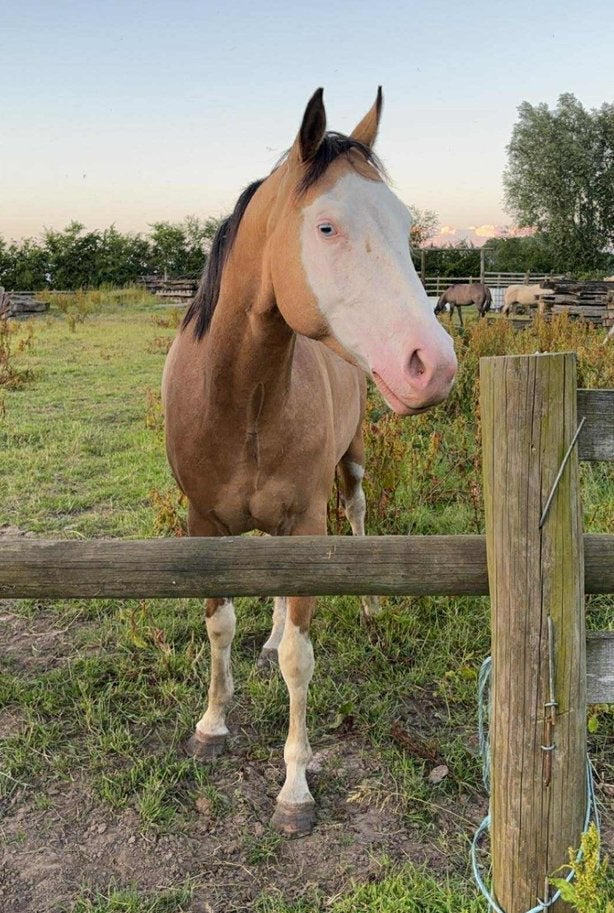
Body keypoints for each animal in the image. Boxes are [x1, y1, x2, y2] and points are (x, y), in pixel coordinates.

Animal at [162, 88, 457, 837]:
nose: (433, 364)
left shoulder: (307, 525)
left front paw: (294, 787)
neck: (239, 394)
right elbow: (219, 625)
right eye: (326, 227)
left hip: (349, 472)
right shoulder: (202, 525)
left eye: (405, 225)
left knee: (357, 514)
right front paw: (211, 725)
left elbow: (301, 659)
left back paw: (370, 608)